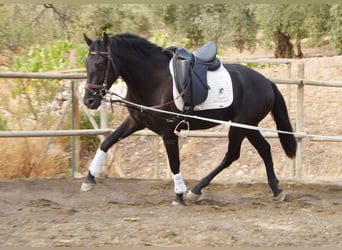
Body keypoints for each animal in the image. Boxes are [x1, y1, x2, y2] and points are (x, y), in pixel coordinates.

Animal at [81, 32, 296, 204]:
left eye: (100, 64)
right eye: (86, 64)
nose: (89, 101)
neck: (154, 80)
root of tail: (267, 82)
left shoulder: (168, 132)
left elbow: (174, 163)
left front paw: (179, 195)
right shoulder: (136, 122)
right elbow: (107, 141)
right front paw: (89, 178)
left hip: (240, 126)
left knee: (232, 155)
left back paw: (196, 190)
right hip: (248, 126)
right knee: (264, 149)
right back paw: (276, 190)